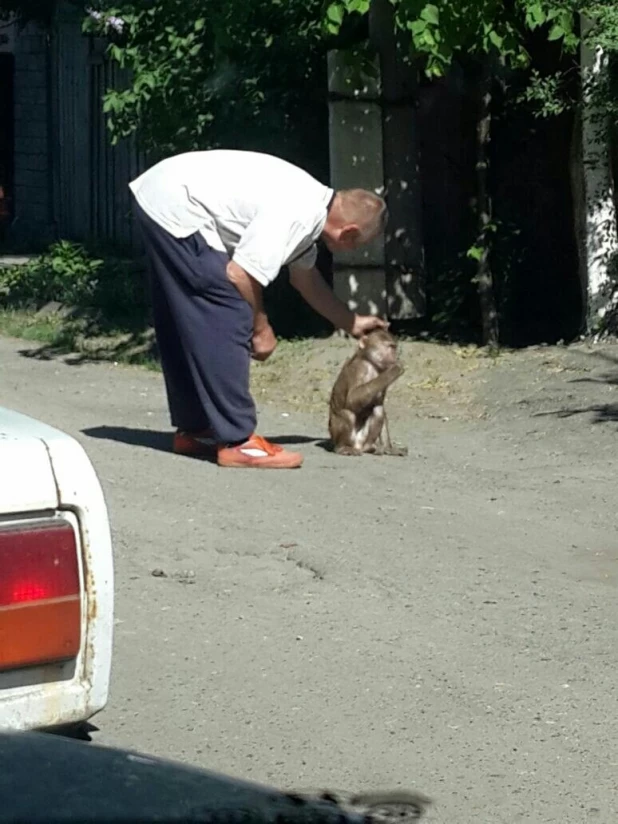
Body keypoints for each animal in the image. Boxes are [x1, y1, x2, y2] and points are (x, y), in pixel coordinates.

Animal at [324, 328, 406, 458]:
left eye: (394, 347)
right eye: (390, 347)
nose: (394, 356)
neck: (370, 363)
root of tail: (358, 446)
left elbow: (379, 404)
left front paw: (390, 448)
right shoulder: (360, 369)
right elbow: (352, 400)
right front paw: (394, 370)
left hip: (361, 439)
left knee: (378, 409)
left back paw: (369, 447)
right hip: (338, 436)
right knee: (347, 414)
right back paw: (343, 447)